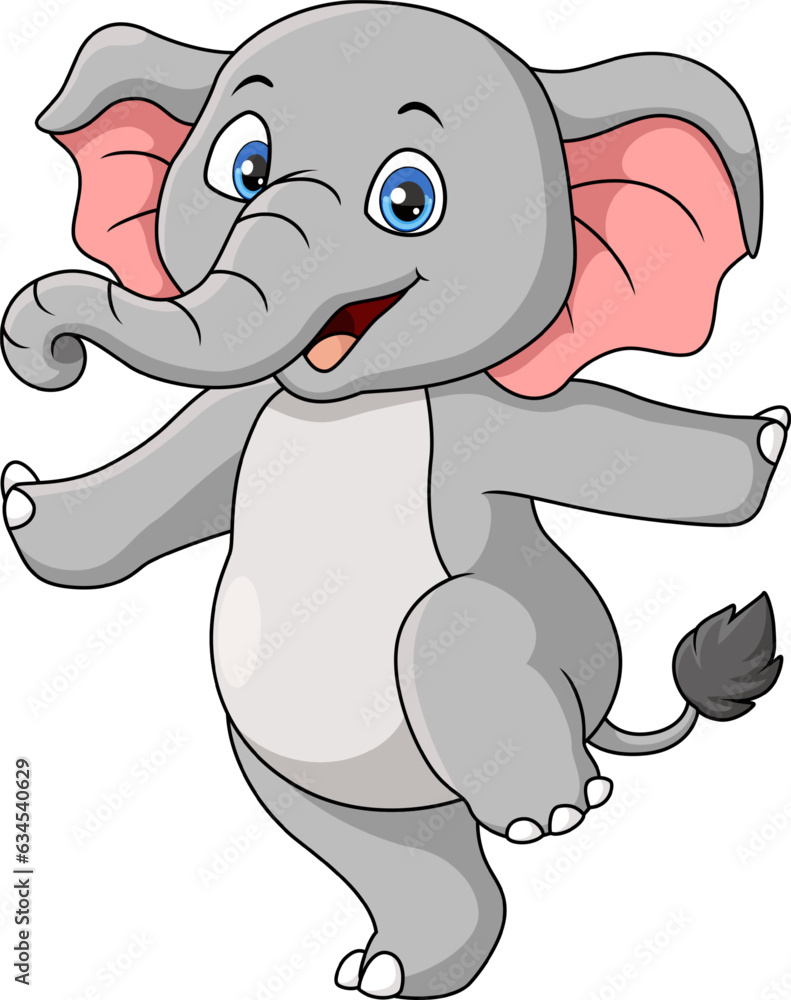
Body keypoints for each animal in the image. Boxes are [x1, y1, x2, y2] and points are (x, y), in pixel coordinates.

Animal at [1, 3, 786, 997]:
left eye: (408, 200)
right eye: (242, 168)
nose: (53, 356)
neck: (349, 400)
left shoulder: (487, 421)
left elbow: (605, 456)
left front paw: (769, 437)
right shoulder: (239, 418)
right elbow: (167, 481)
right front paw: (24, 505)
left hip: (563, 664)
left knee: (454, 622)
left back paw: (548, 812)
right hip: (291, 773)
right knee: (396, 852)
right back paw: (396, 969)